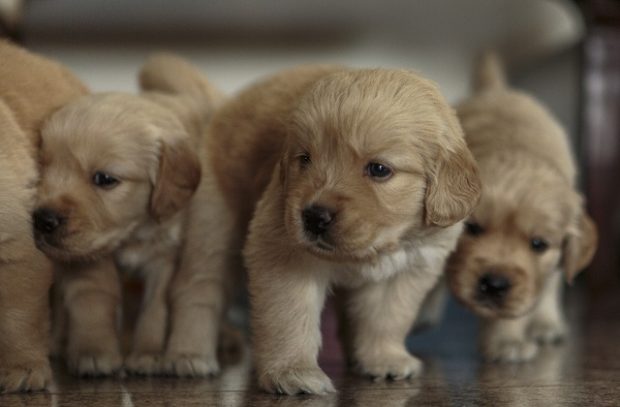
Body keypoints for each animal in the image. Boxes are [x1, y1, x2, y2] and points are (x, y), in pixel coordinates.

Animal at [32, 55, 225, 378]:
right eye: (42, 170)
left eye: (104, 179)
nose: (43, 220)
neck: (132, 234)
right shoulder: (87, 256)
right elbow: (94, 300)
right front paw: (94, 351)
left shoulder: (164, 257)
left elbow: (154, 310)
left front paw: (147, 353)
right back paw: (57, 342)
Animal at [207, 64, 480, 396]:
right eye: (305, 159)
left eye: (379, 169)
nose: (314, 217)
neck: (370, 251)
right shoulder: (282, 254)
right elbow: (288, 317)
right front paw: (292, 373)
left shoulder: (406, 271)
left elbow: (387, 319)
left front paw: (383, 359)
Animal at [448, 54, 600, 364]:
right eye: (472, 228)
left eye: (538, 244)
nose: (494, 284)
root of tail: (496, 89)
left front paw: (506, 341)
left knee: (552, 284)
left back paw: (546, 324)